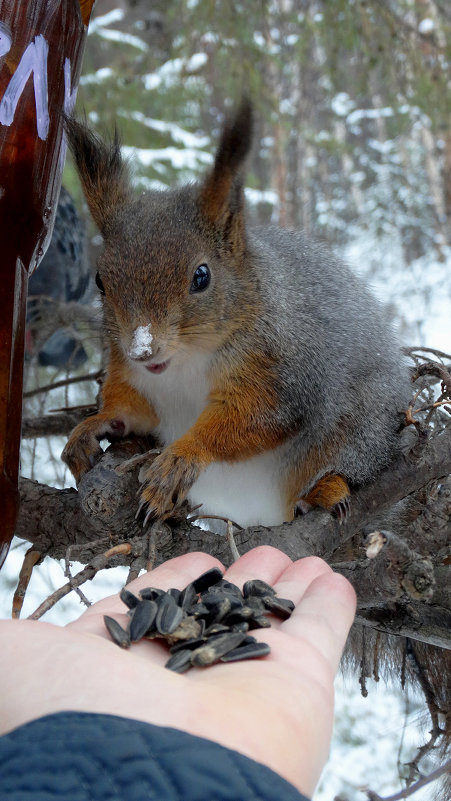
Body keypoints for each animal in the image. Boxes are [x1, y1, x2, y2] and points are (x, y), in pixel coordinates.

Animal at [61, 98, 412, 524]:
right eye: (100, 280)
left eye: (201, 276)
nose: (142, 350)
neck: (184, 364)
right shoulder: (136, 378)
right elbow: (130, 410)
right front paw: (91, 426)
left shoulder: (281, 372)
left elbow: (252, 420)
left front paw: (182, 456)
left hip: (358, 427)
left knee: (346, 462)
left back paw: (326, 490)